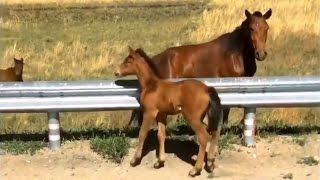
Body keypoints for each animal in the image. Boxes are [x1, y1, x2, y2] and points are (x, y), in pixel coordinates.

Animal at [115, 46, 222, 177]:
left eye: (128, 62)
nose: (116, 72)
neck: (151, 85)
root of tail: (207, 88)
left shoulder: (149, 112)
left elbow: (142, 133)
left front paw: (134, 160)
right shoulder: (161, 115)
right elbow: (161, 135)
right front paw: (159, 162)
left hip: (192, 118)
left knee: (203, 137)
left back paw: (195, 170)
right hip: (202, 117)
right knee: (214, 133)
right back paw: (210, 163)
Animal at [126, 8, 272, 126]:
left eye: (266, 28)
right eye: (251, 28)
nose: (261, 54)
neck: (235, 54)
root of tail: (155, 59)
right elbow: (226, 109)